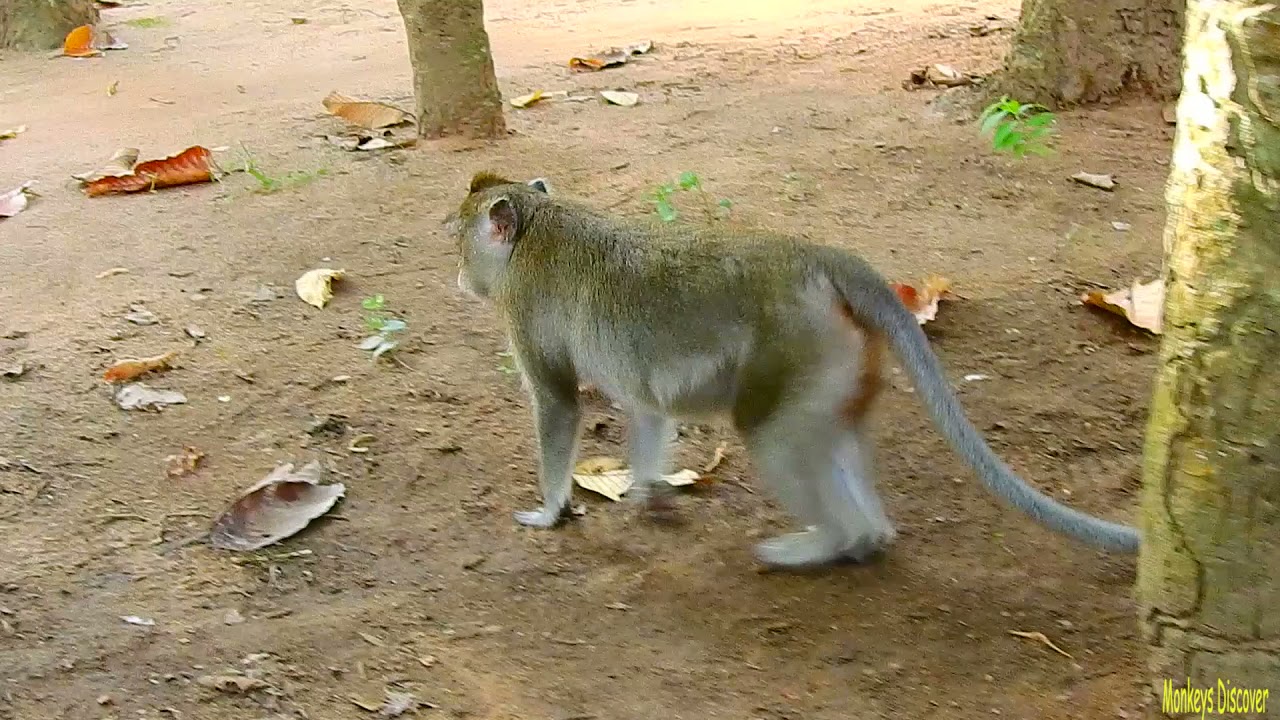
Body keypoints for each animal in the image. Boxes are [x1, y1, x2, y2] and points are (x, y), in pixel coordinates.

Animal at [444, 170, 1140, 569]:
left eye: (457, 238)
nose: (458, 276)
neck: (538, 231)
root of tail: (813, 257)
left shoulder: (525, 311)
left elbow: (559, 404)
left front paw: (550, 511)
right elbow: (647, 409)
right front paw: (646, 492)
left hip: (800, 348)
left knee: (771, 434)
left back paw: (830, 541)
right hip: (843, 357)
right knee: (833, 433)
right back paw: (869, 539)